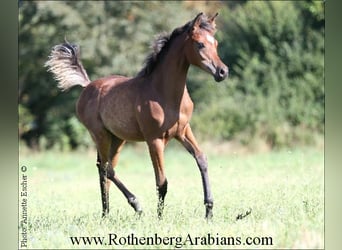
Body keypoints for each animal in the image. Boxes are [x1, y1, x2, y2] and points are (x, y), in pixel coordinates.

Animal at [44, 12, 227, 219]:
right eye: (200, 44)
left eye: (216, 43)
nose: (222, 72)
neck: (163, 93)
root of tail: (87, 86)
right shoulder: (154, 139)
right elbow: (162, 181)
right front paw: (160, 217)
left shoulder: (183, 131)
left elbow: (202, 159)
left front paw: (209, 211)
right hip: (99, 134)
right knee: (106, 168)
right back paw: (135, 205)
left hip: (117, 139)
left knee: (104, 170)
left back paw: (106, 213)